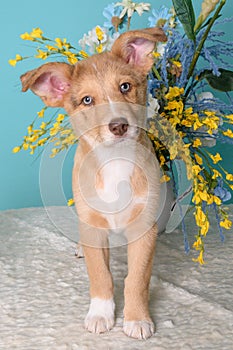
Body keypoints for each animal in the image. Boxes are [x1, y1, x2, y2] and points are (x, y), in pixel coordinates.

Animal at [20, 27, 166, 340]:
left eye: (125, 87)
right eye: (87, 100)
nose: (119, 125)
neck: (115, 163)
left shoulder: (144, 228)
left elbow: (137, 278)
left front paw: (137, 319)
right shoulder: (93, 226)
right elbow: (100, 275)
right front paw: (100, 314)